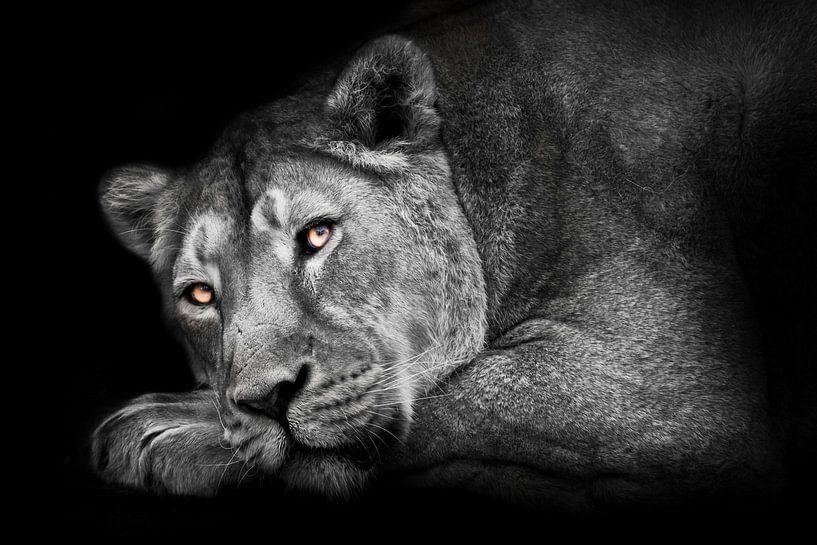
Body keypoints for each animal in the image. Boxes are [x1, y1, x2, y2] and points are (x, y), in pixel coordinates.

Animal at [91, 0, 816, 511]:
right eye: (200, 294)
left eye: (316, 236)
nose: (268, 399)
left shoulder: (662, 384)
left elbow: (454, 395)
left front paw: (168, 428)